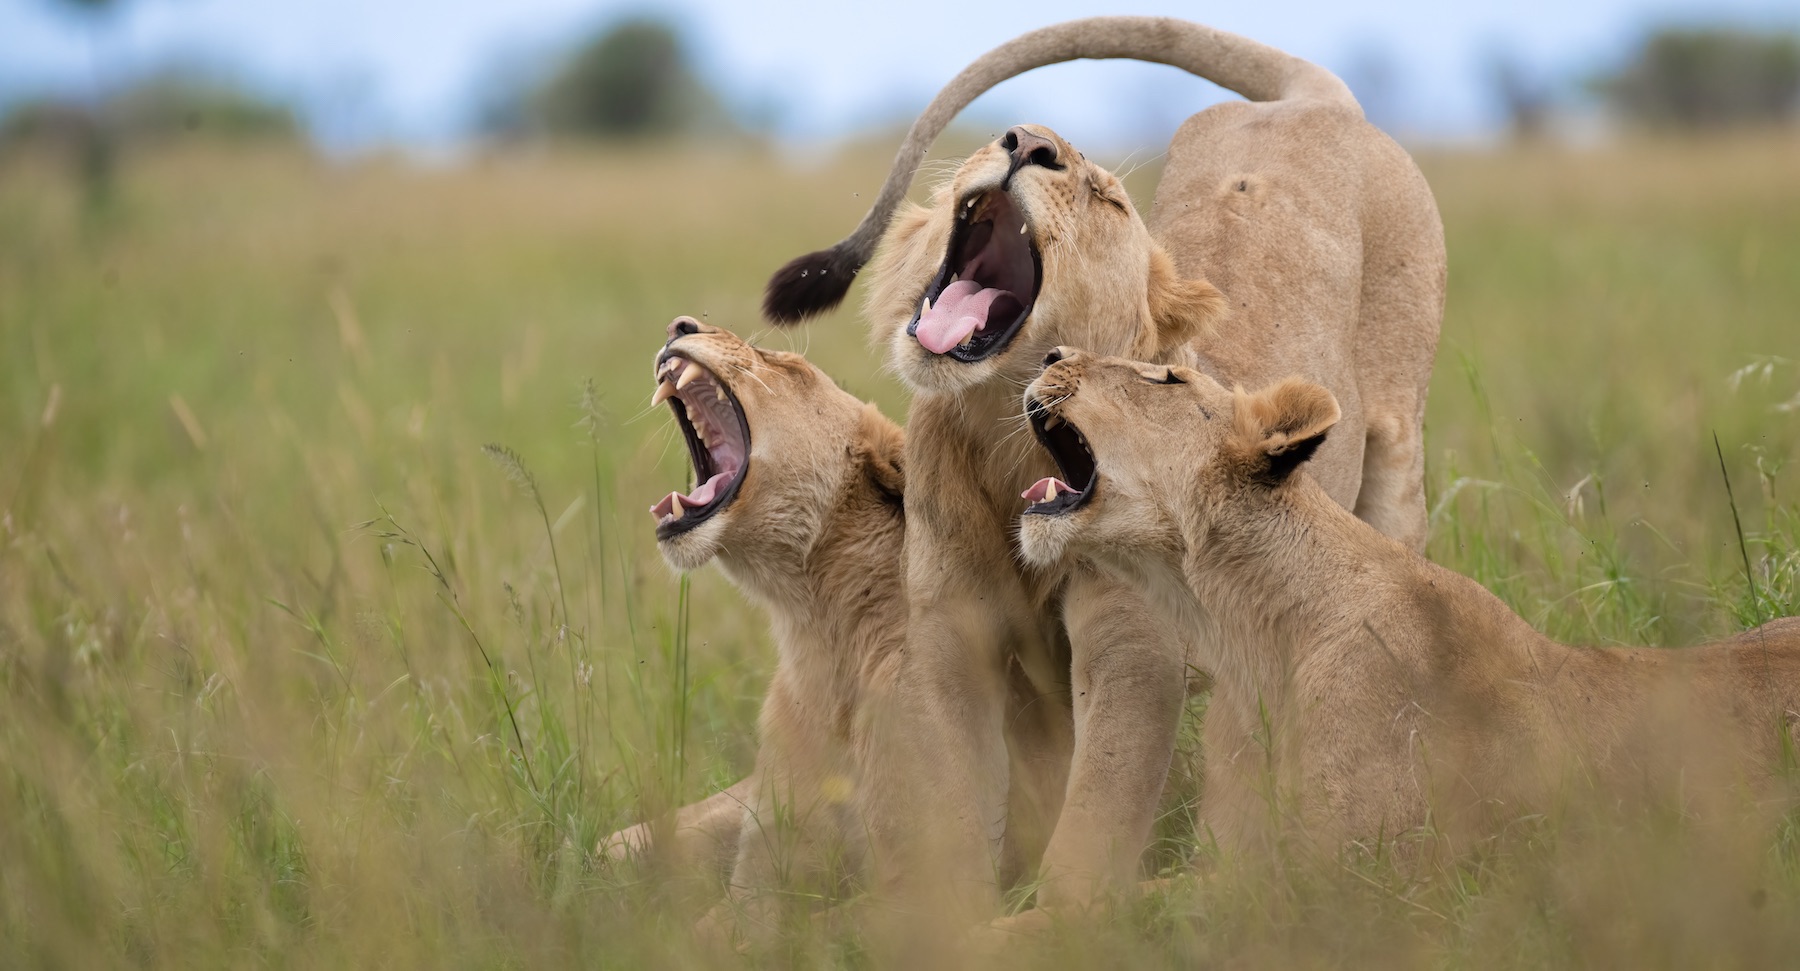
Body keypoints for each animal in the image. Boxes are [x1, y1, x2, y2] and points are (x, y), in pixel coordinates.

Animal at [759, 17, 1445, 914]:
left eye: (1109, 198)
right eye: (1009, 137)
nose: (1026, 142)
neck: (1004, 436)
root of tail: (1309, 104)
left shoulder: (1133, 646)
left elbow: (1097, 814)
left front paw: (1062, 920)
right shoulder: (950, 638)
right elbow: (949, 798)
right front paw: (946, 914)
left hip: (1398, 454)